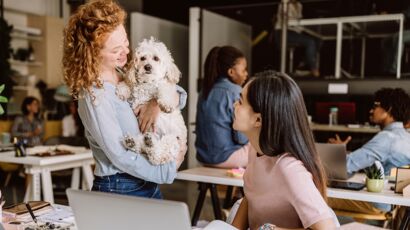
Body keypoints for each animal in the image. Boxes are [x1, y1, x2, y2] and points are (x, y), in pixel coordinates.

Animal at [117, 36, 187, 164]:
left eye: (156, 58)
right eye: (142, 58)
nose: (147, 66)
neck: (148, 83)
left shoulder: (166, 86)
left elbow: (164, 89)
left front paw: (166, 104)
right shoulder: (135, 95)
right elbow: (128, 84)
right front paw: (122, 90)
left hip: (173, 139)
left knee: (157, 157)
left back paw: (150, 145)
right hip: (147, 135)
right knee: (143, 148)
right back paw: (133, 142)